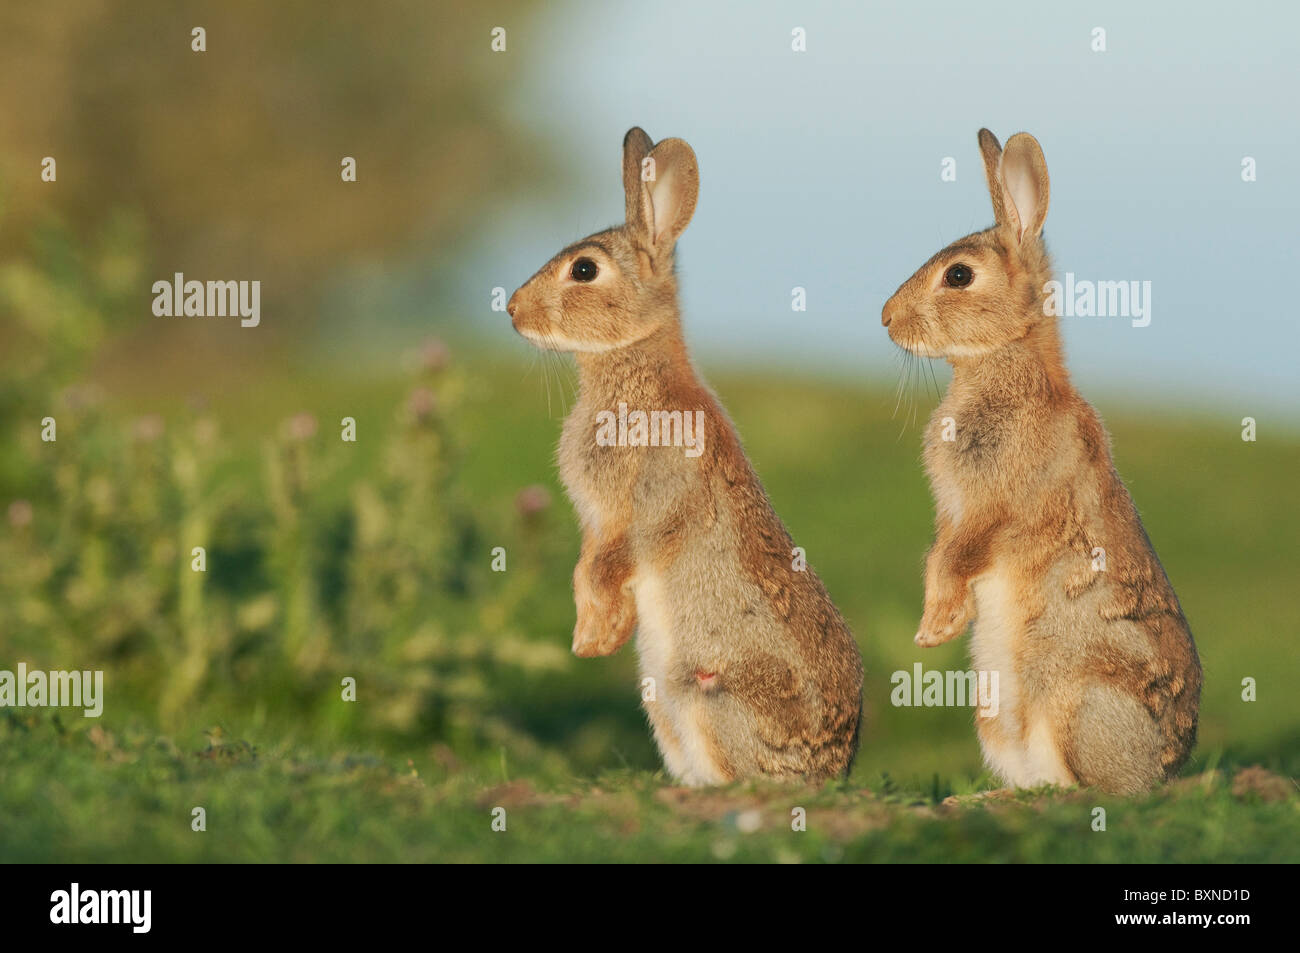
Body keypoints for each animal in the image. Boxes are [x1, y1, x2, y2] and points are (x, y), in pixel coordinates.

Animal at [506, 124, 863, 780]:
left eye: (585, 269)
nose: (513, 310)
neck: (632, 363)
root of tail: (830, 772)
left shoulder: (640, 508)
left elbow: (608, 563)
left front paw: (591, 640)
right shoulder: (598, 522)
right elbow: (588, 565)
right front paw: (595, 638)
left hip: (705, 695)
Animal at [883, 128, 1196, 795]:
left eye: (958, 275)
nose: (887, 319)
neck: (1005, 360)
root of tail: (1164, 771)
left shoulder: (996, 507)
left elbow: (958, 555)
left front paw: (934, 630)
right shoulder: (953, 512)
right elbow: (939, 554)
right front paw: (942, 626)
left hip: (1076, 704)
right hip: (995, 718)